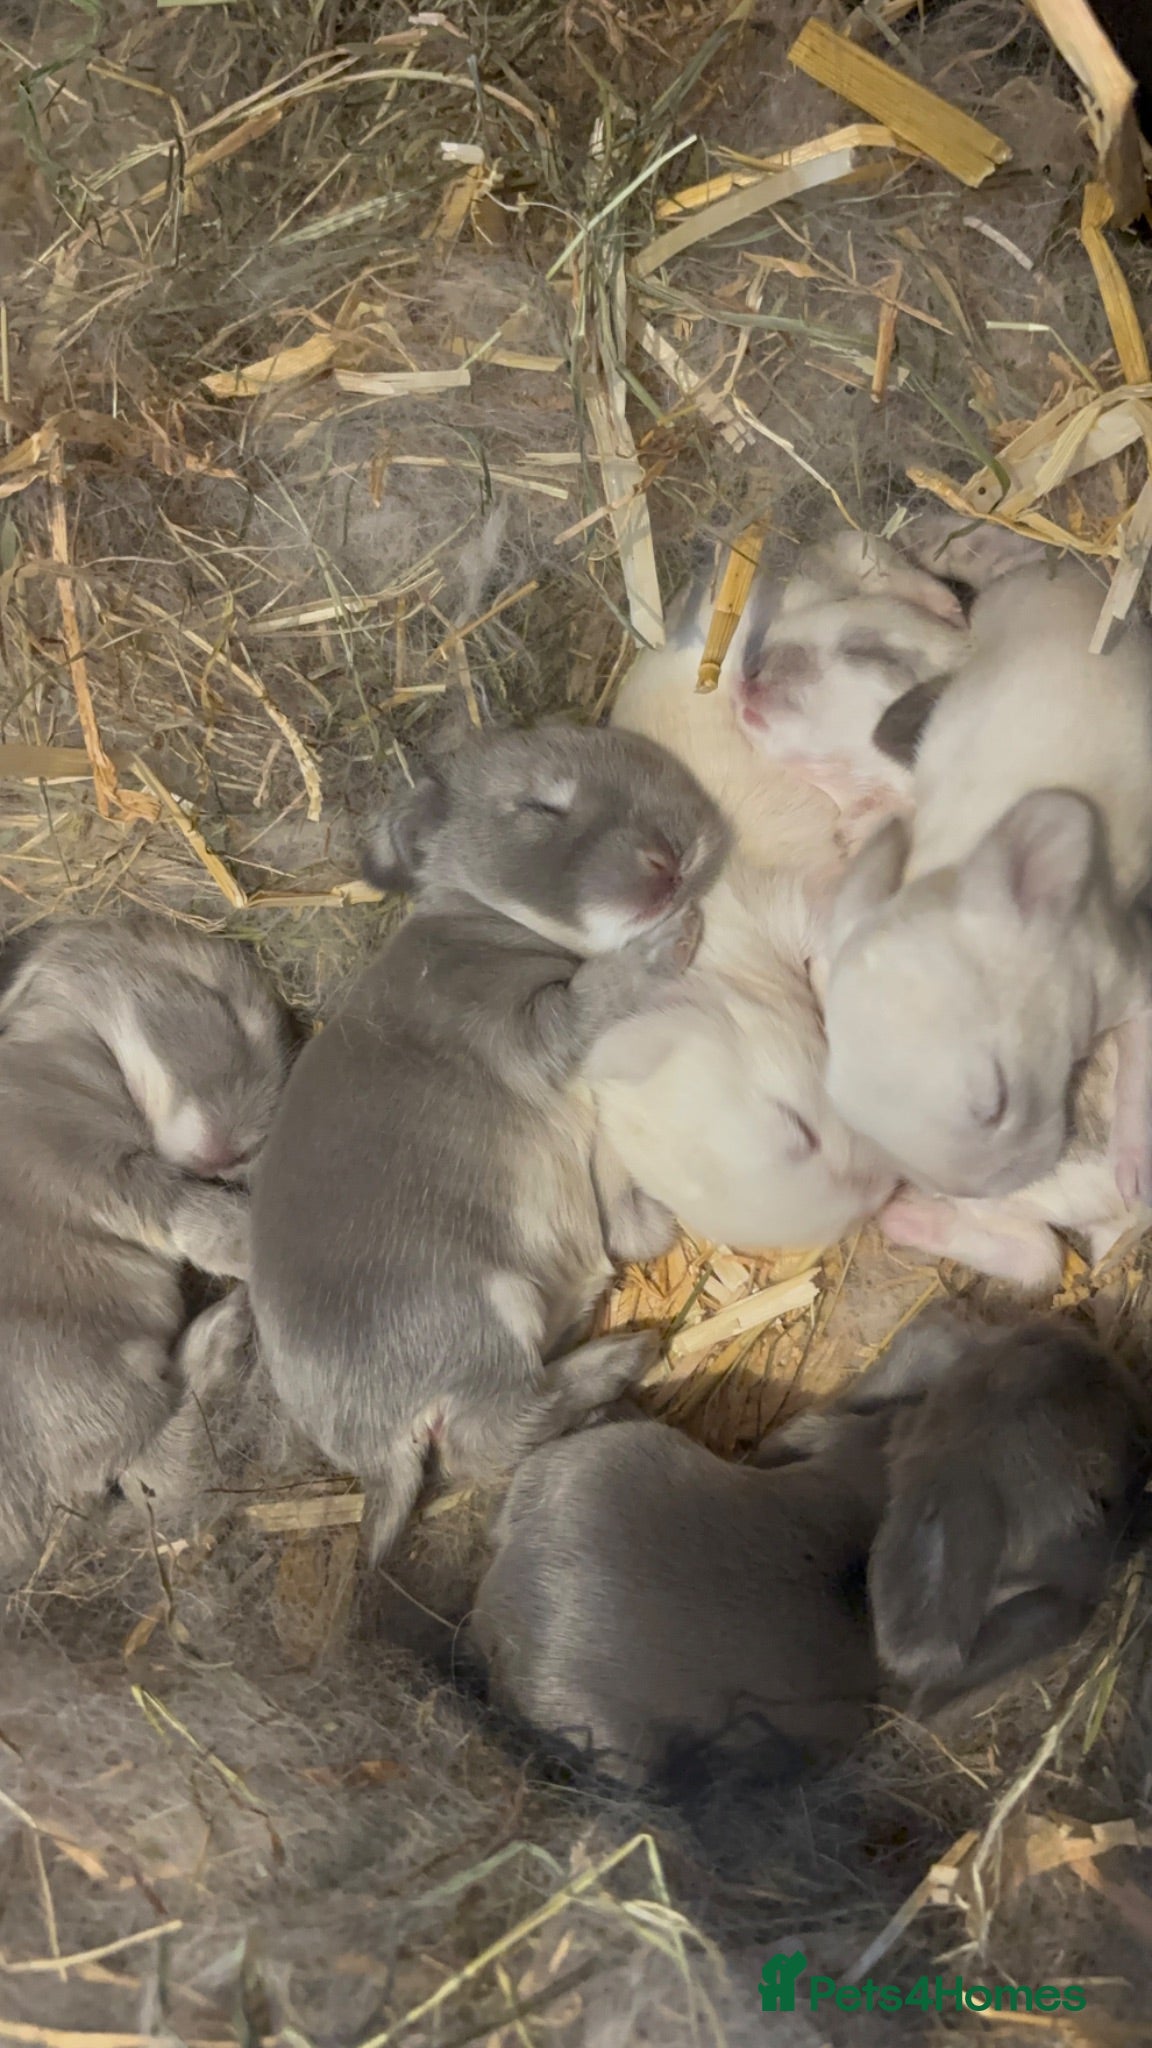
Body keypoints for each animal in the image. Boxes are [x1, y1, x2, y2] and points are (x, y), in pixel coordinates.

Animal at [0, 914, 292, 1581]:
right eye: (223, 1005)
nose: (240, 1149)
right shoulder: (89, 1165)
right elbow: (182, 1209)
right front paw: (252, 1242)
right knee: (152, 1467)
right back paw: (228, 1330)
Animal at [248, 722, 730, 1565]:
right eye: (540, 805)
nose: (672, 856)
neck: (488, 922)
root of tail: (377, 1453)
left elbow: (625, 1217)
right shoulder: (525, 1030)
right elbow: (595, 997)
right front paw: (665, 941)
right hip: (484, 1314)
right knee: (494, 1433)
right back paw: (621, 1358)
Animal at [823, 557, 1152, 1206]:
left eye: (997, 1102)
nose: (977, 1196)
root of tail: (1047, 578)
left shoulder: (1127, 965)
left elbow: (1140, 1072)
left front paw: (1133, 1169)